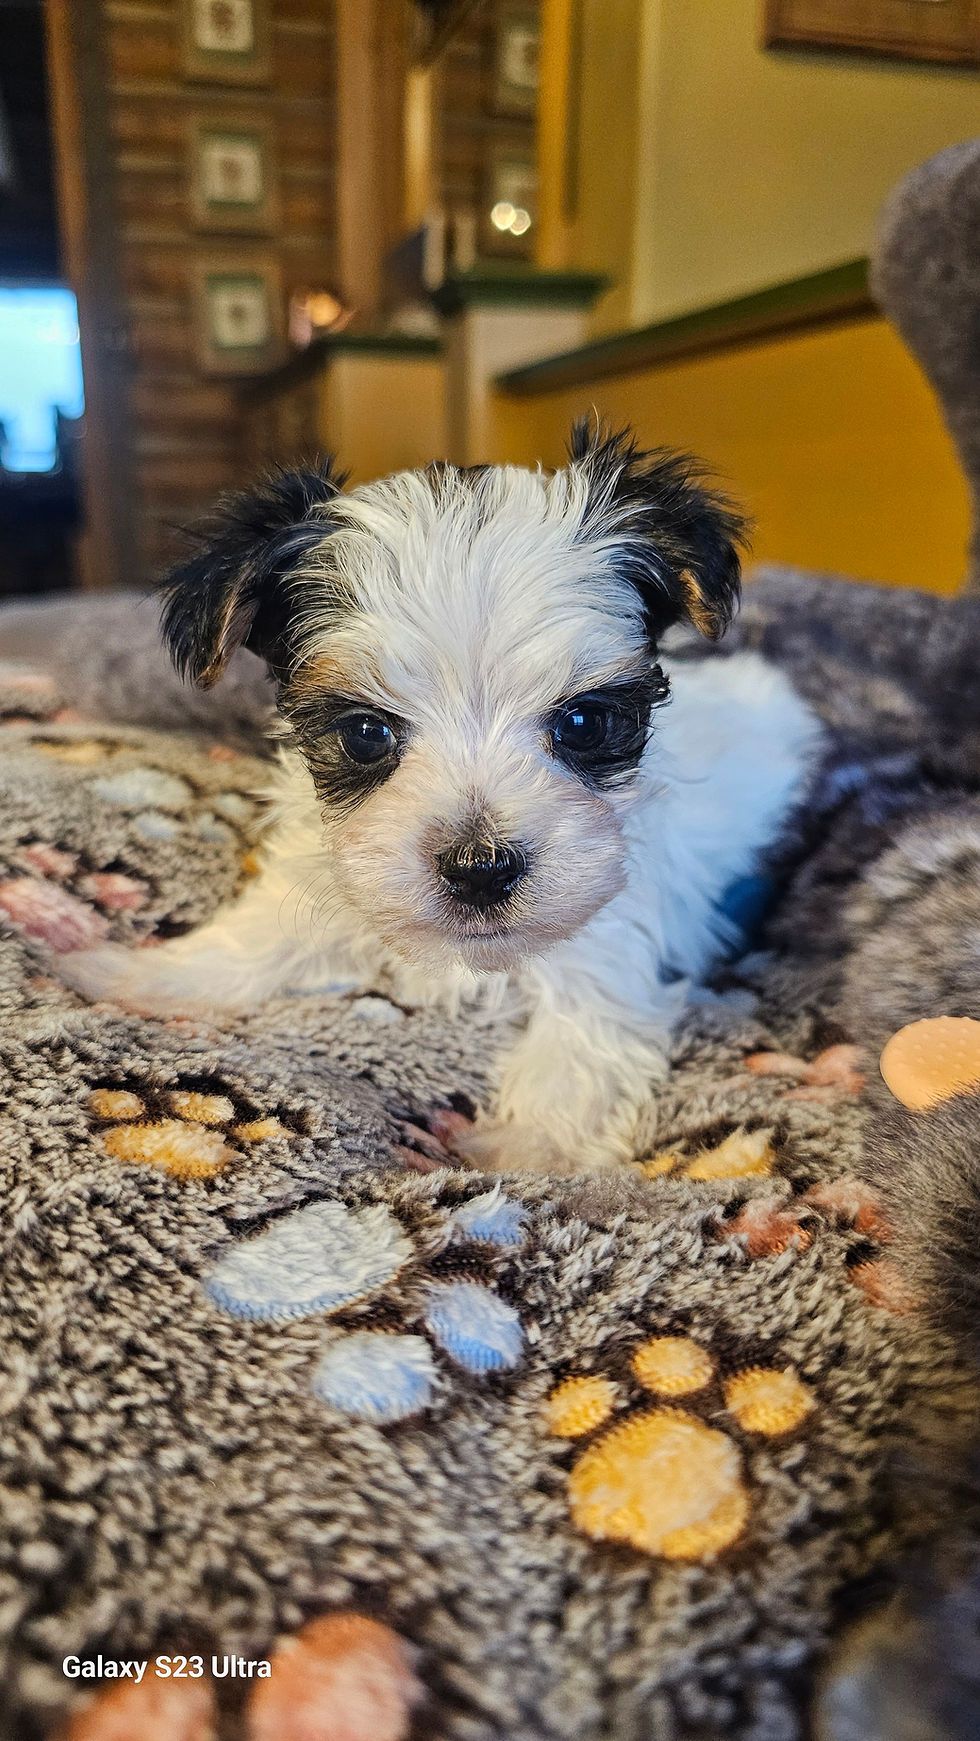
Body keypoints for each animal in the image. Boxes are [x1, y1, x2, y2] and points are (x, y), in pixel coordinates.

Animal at [60, 423, 821, 1174]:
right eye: (366, 734)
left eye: (584, 724)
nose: (480, 868)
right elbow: (257, 938)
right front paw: (139, 975)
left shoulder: (611, 940)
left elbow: (579, 1052)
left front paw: (524, 1150)